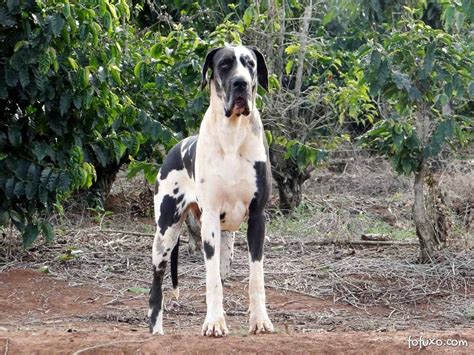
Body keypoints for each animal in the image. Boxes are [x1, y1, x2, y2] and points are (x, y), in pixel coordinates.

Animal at [148, 46, 274, 338]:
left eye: (250, 64)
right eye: (225, 64)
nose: (241, 83)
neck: (232, 135)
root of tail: (176, 147)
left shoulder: (257, 218)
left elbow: (256, 278)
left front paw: (259, 320)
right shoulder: (210, 221)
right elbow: (211, 280)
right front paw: (214, 322)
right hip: (165, 234)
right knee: (156, 288)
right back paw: (156, 330)